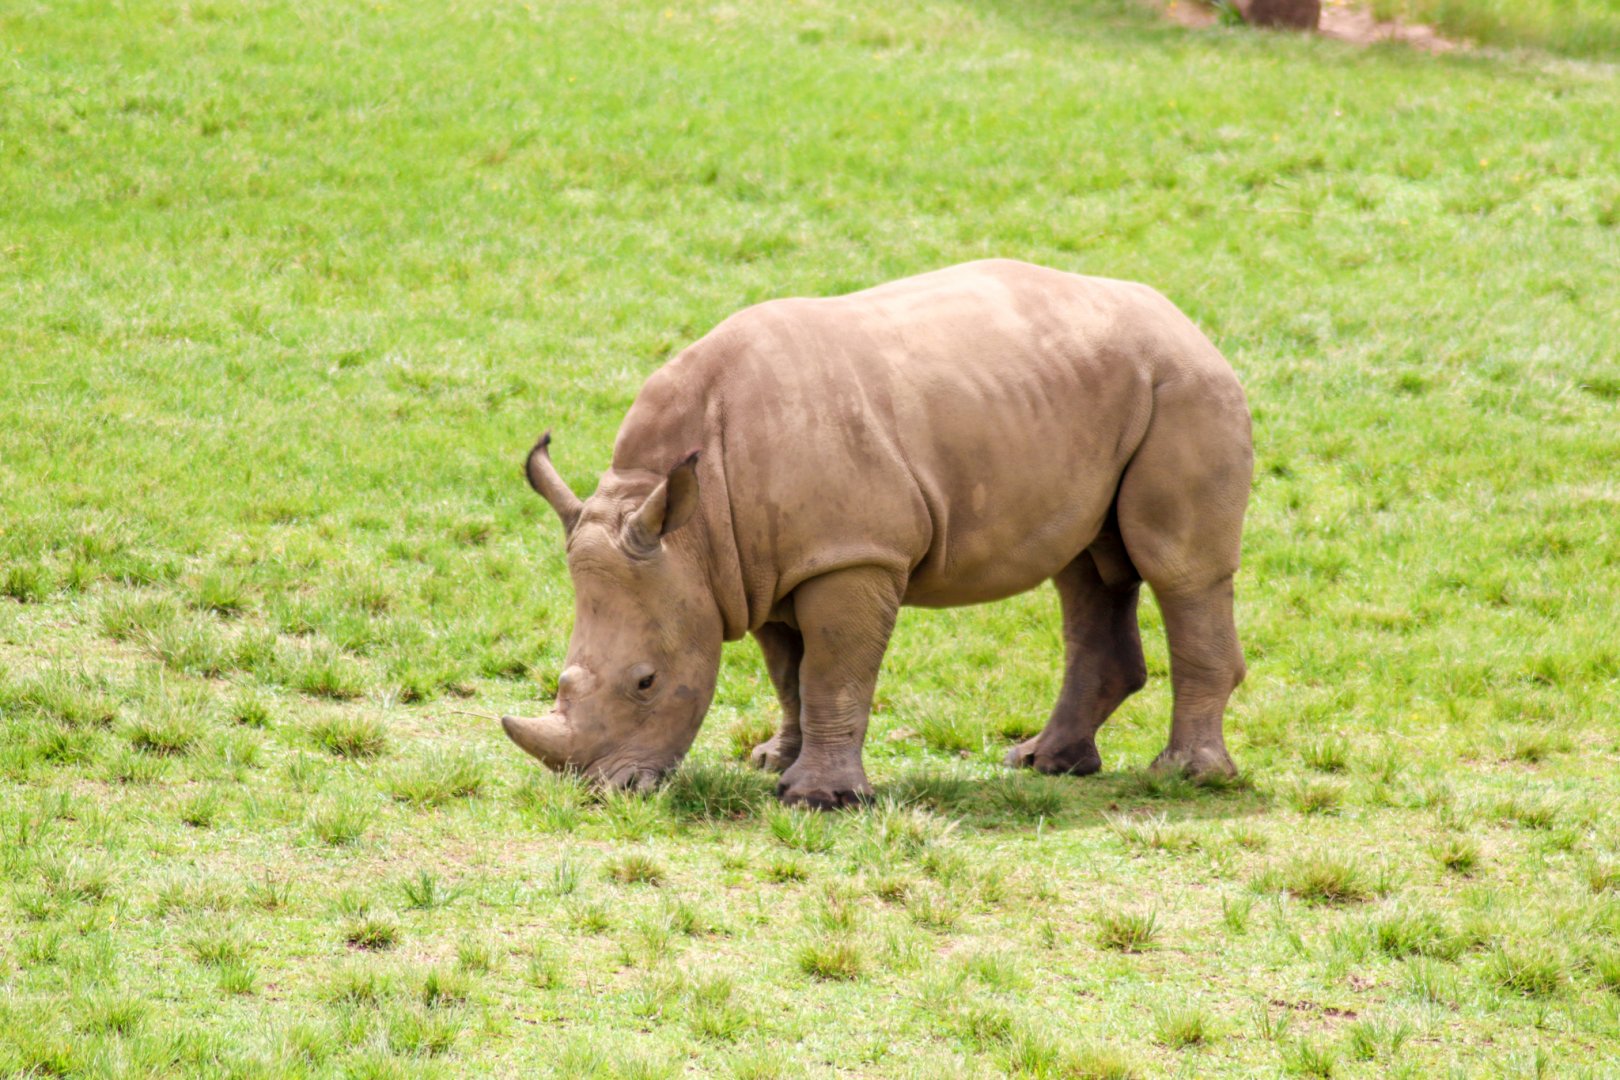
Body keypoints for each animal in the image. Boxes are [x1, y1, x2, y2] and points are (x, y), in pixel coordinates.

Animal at [502, 259, 1252, 808]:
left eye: (647, 683)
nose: (604, 792)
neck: (693, 525)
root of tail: (1186, 320)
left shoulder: (850, 556)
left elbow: (832, 671)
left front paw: (817, 798)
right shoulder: (758, 566)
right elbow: (789, 673)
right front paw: (772, 760)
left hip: (1186, 388)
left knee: (1178, 570)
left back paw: (1184, 776)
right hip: (1102, 398)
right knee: (1088, 571)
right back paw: (1044, 763)